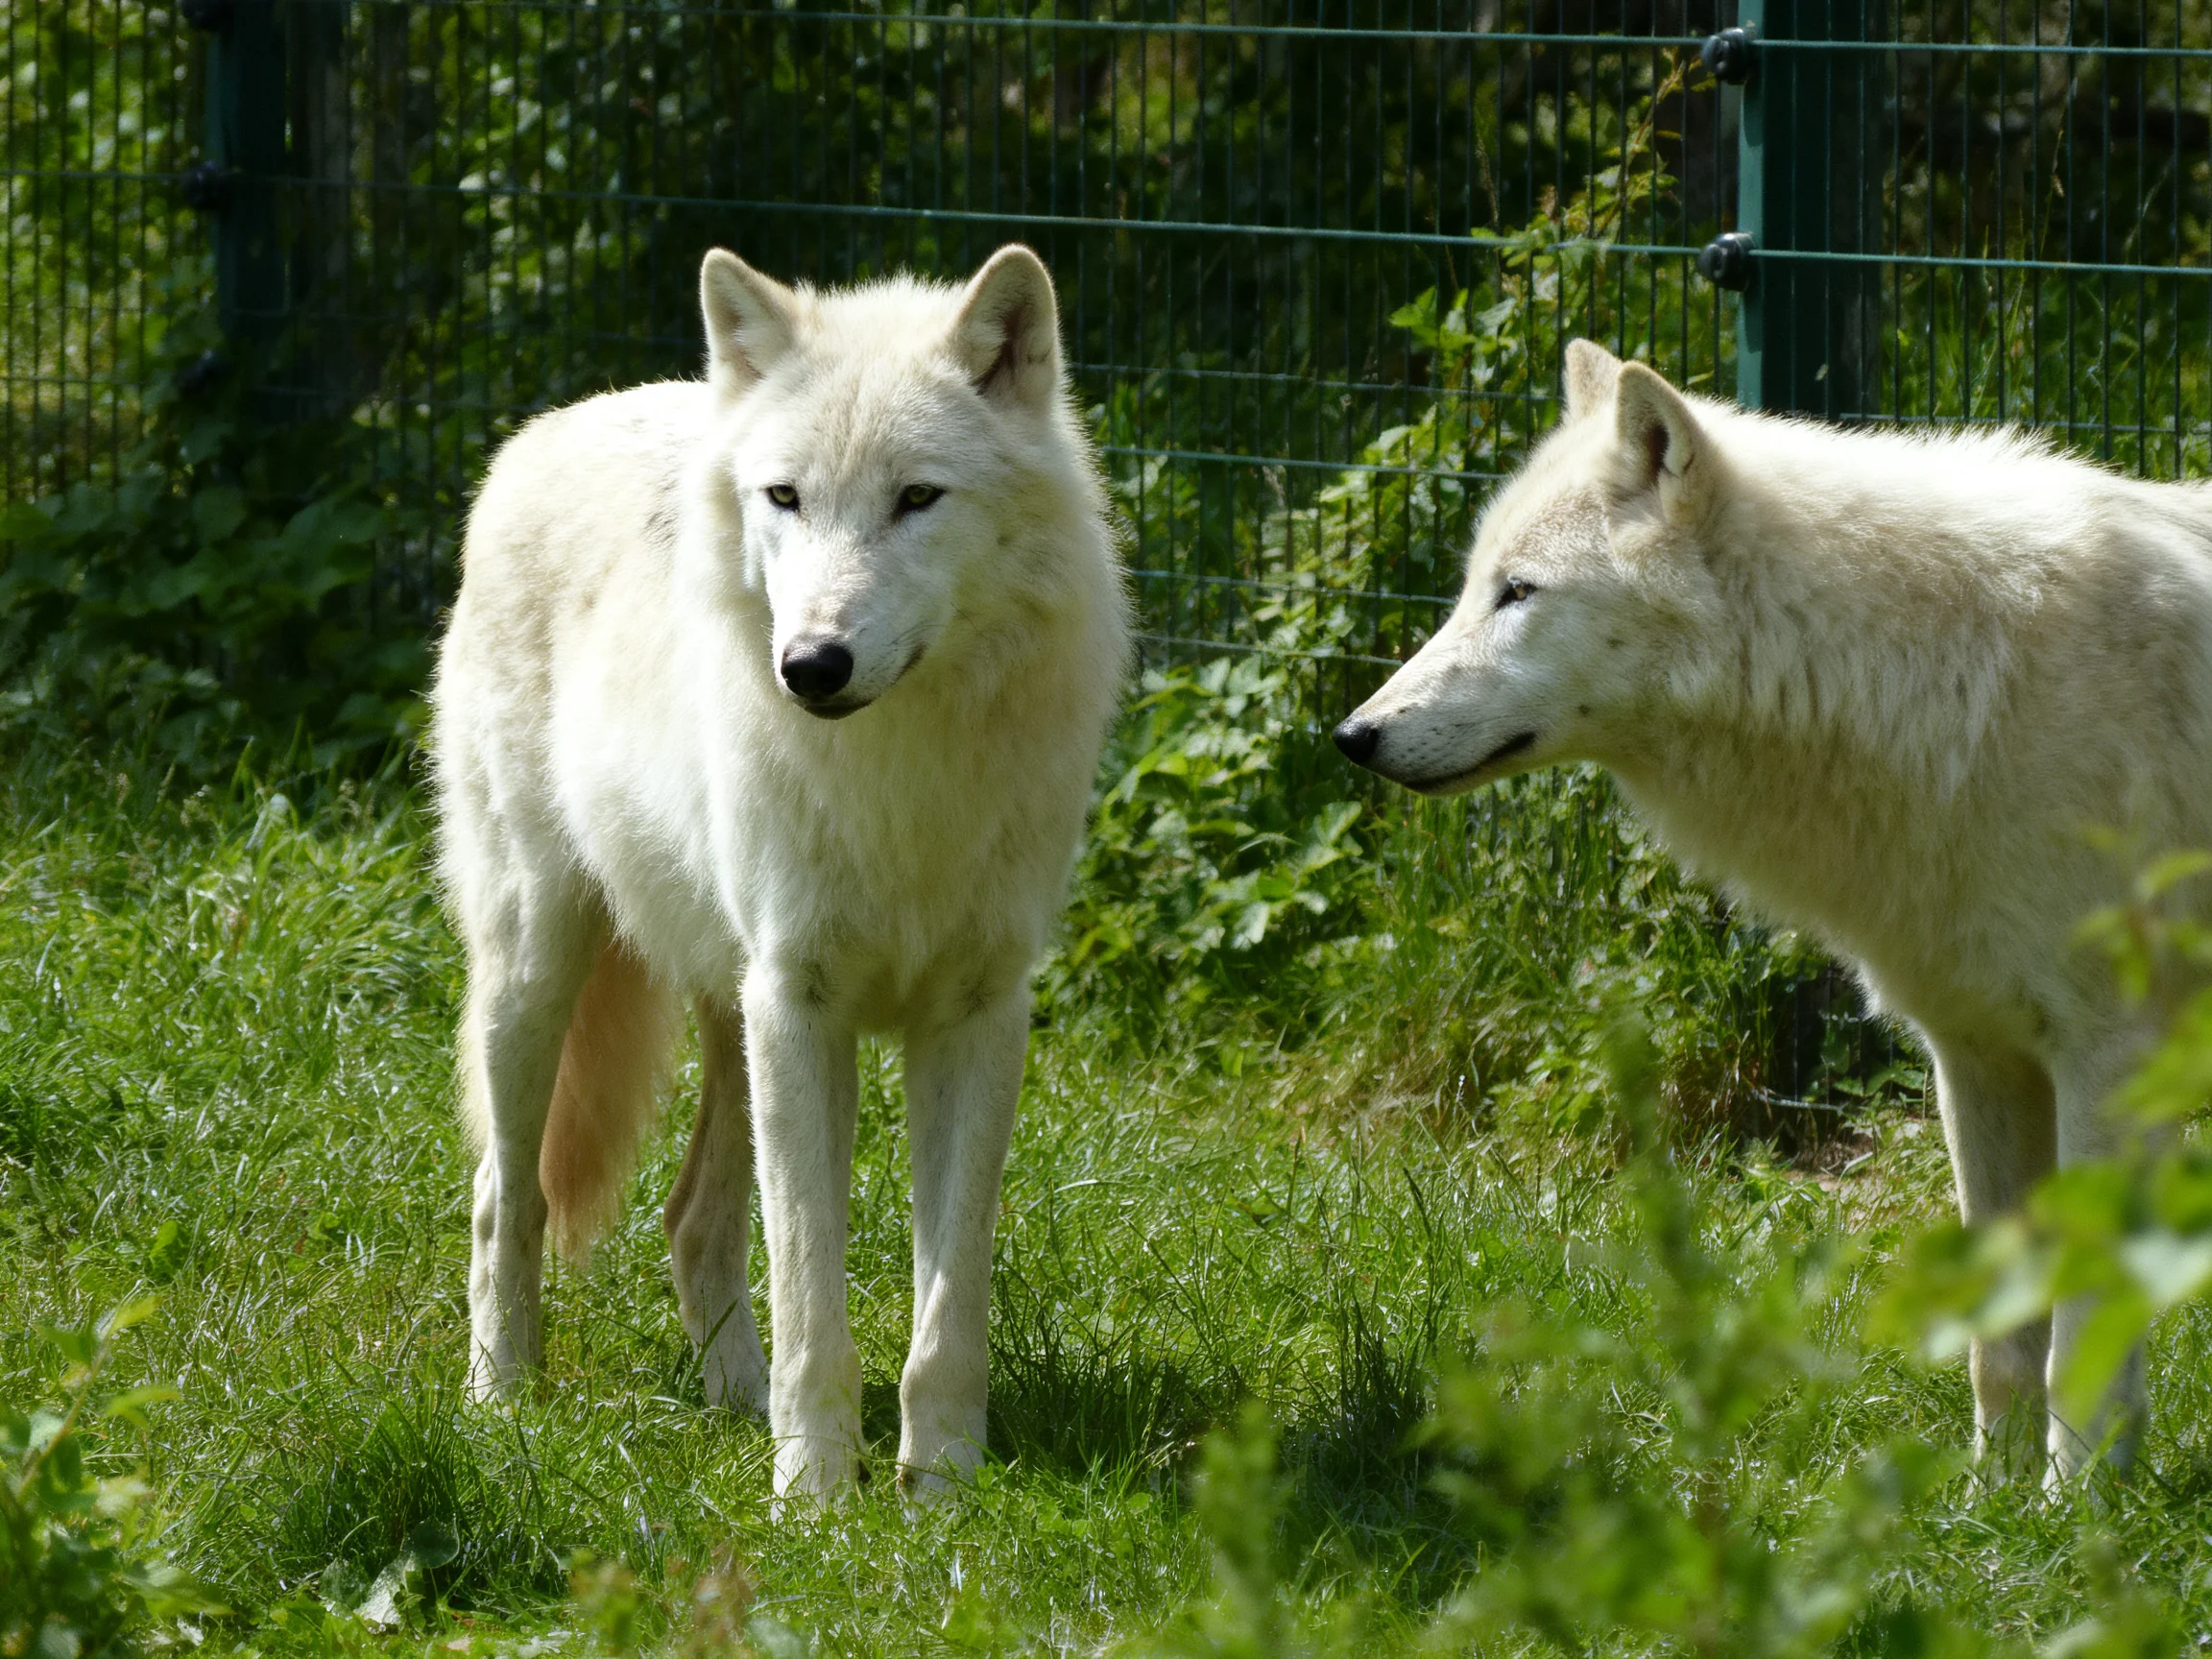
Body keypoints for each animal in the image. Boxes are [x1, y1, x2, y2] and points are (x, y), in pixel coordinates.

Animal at [430, 245, 1129, 1505]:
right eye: (788, 498)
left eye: (917, 498)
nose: (812, 664)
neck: (901, 775)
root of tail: (549, 426)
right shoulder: (803, 1007)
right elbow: (814, 1291)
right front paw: (813, 1500)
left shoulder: (977, 1016)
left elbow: (947, 1307)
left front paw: (940, 1493)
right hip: (540, 974)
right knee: (505, 1200)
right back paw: (502, 1399)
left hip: (730, 1011)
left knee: (689, 1219)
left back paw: (736, 1403)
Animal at [1335, 341, 2212, 1476]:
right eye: (1473, 588)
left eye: (1516, 593)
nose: (1353, 735)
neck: (1939, 677)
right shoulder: (1979, 1056)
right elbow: (1999, 1337)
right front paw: (1990, 1502)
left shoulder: (2110, 1058)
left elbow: (2081, 1342)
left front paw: (2080, 1511)